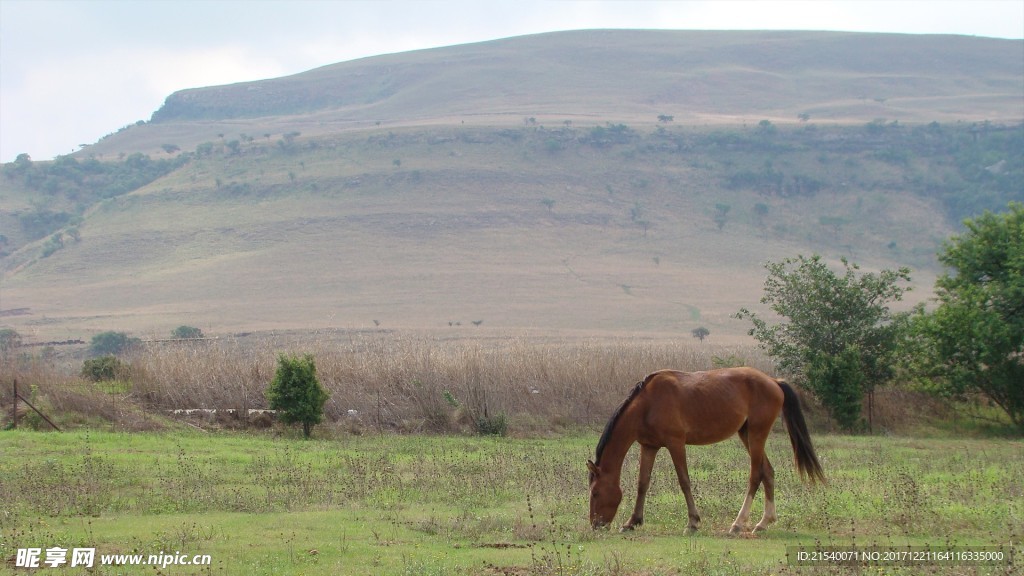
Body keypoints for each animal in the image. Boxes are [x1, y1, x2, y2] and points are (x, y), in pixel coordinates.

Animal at [585, 364, 823, 532]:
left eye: (595, 493)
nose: (596, 525)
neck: (647, 404)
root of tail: (774, 381)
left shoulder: (676, 444)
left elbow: (684, 481)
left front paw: (693, 522)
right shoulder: (649, 446)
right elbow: (642, 483)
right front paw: (632, 522)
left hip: (757, 434)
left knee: (756, 475)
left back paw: (738, 524)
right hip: (746, 434)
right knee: (768, 472)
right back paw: (764, 522)